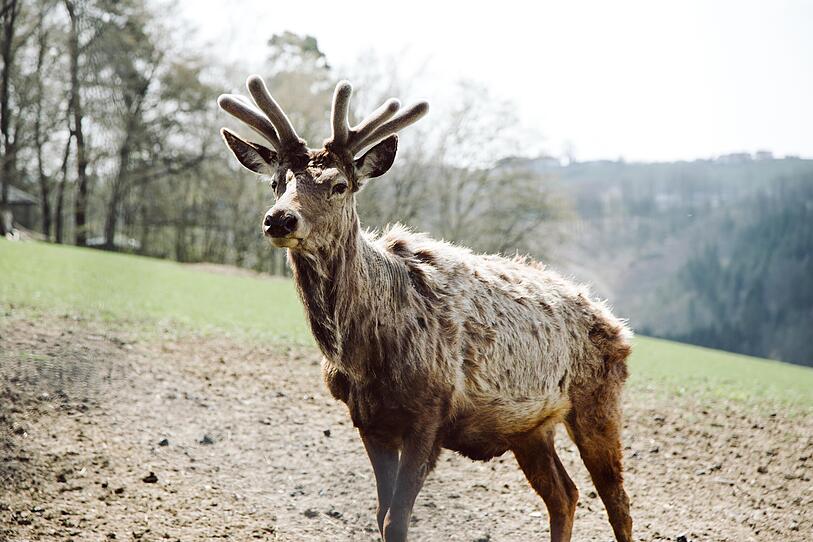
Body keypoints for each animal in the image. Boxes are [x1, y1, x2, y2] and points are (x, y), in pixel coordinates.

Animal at [216, 73, 636, 542]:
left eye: (339, 185)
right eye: (277, 182)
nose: (279, 219)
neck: (362, 354)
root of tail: (618, 326)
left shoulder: (430, 412)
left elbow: (396, 520)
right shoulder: (369, 421)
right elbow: (381, 515)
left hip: (599, 402)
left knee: (618, 503)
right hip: (530, 427)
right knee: (564, 494)